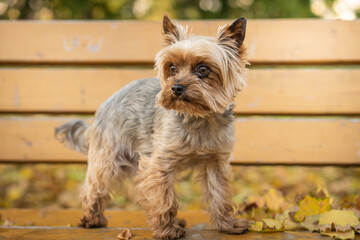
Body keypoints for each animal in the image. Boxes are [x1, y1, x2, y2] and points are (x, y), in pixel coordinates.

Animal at [55, 15, 248, 240]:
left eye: (203, 69)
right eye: (172, 68)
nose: (176, 88)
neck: (199, 118)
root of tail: (101, 108)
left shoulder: (216, 162)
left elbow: (220, 195)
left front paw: (228, 224)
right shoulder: (159, 164)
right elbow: (164, 199)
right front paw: (167, 230)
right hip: (108, 156)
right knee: (95, 185)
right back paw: (91, 219)